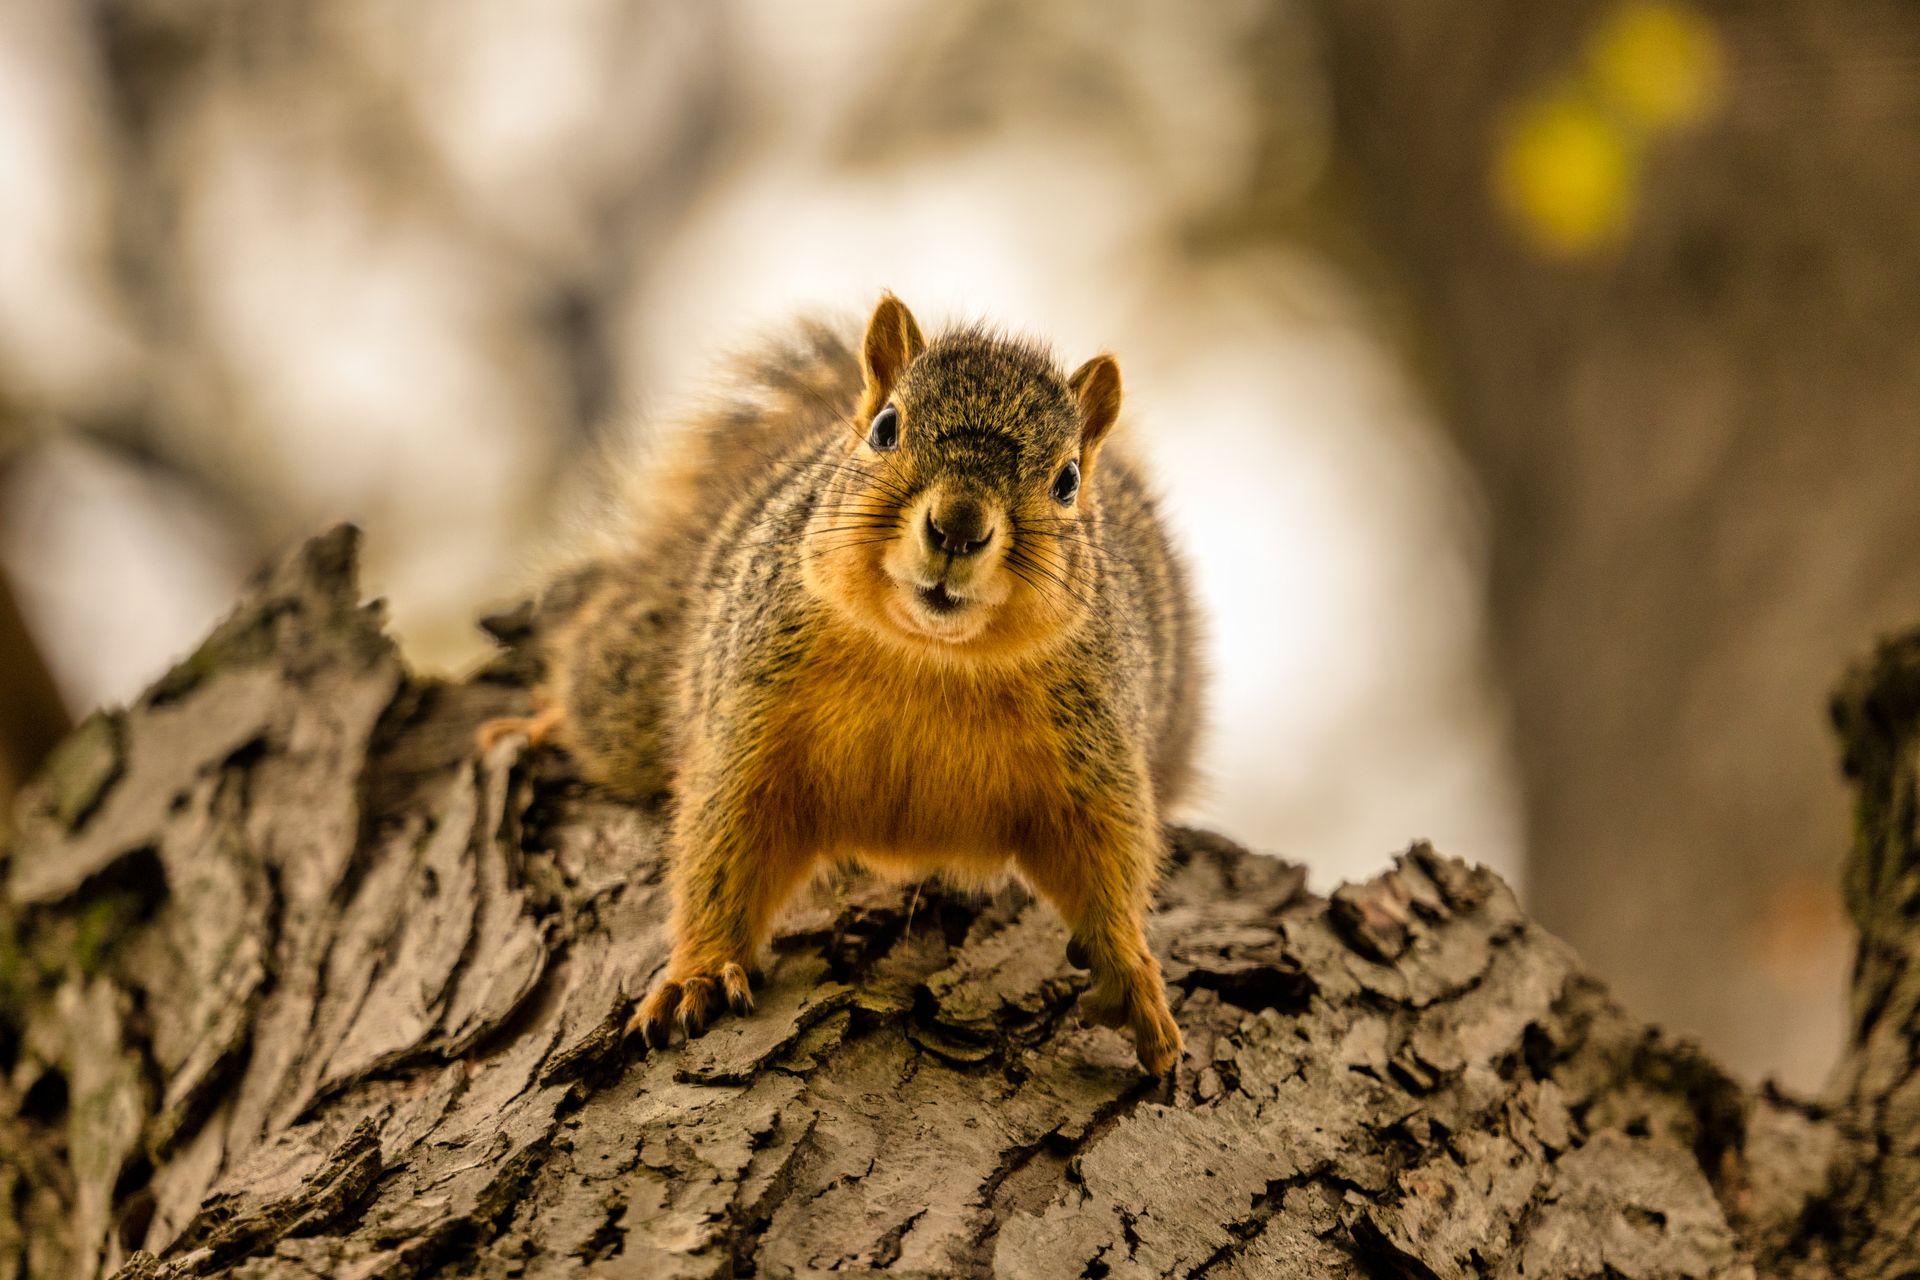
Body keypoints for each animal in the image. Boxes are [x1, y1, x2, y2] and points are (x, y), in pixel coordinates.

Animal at [483, 294, 1204, 1073]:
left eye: (1067, 480)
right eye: (887, 428)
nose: (958, 526)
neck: (927, 658)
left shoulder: (1093, 750)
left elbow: (1107, 859)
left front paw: (1132, 975)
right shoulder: (749, 717)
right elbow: (722, 842)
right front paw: (697, 972)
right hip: (635, 680)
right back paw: (542, 723)